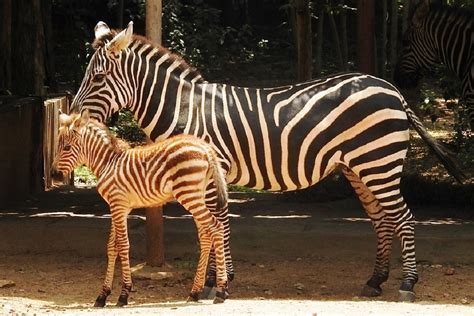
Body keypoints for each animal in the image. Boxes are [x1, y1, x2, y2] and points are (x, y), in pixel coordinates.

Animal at [51, 110, 229, 306]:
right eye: (58, 146)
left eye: (67, 147)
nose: (53, 175)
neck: (108, 162)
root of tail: (205, 148)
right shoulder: (118, 207)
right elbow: (112, 246)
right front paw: (103, 294)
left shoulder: (118, 204)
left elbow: (123, 245)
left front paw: (124, 294)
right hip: (197, 195)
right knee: (206, 235)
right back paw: (195, 292)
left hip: (189, 194)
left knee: (216, 227)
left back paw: (221, 291)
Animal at [72, 20, 464, 302]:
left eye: (98, 77)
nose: (73, 117)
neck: (186, 107)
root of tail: (393, 90)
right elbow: (217, 225)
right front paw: (221, 278)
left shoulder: (213, 170)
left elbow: (216, 224)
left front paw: (216, 283)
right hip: (360, 167)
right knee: (382, 220)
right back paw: (375, 280)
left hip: (378, 163)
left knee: (404, 218)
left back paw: (408, 283)